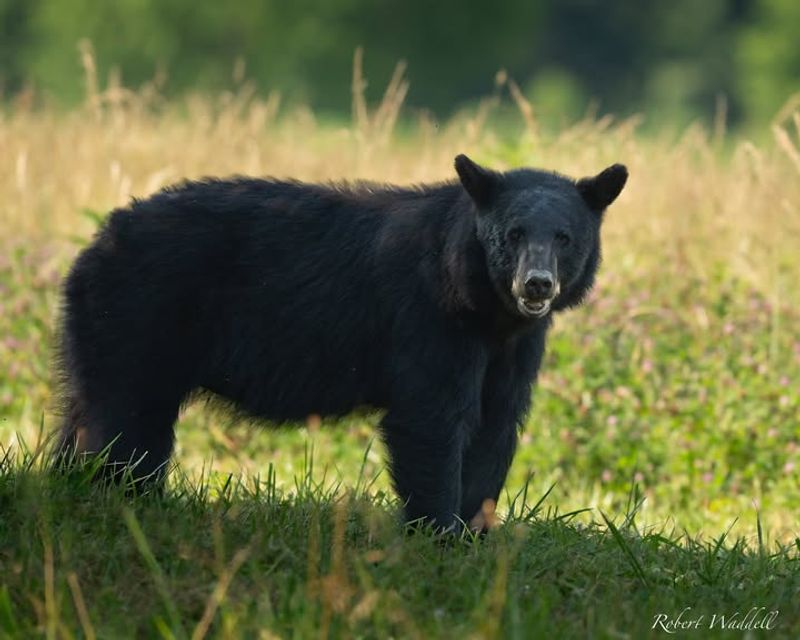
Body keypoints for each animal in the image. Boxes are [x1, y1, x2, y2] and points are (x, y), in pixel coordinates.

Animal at [59, 158, 628, 532]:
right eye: (513, 234)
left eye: (565, 238)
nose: (537, 285)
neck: (485, 309)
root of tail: (101, 236)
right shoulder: (429, 320)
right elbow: (434, 417)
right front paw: (439, 531)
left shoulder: (516, 346)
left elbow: (497, 422)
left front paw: (477, 529)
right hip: (140, 315)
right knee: (126, 417)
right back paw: (121, 495)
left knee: (88, 408)